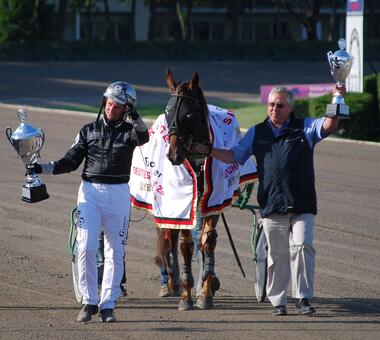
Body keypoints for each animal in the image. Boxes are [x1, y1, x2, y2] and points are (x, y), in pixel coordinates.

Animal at [156, 69, 221, 310]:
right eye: (168, 110)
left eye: (189, 115)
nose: (174, 155)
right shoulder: (183, 201)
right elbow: (185, 245)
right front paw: (186, 295)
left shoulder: (213, 200)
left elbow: (207, 239)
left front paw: (205, 291)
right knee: (169, 236)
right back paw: (172, 283)